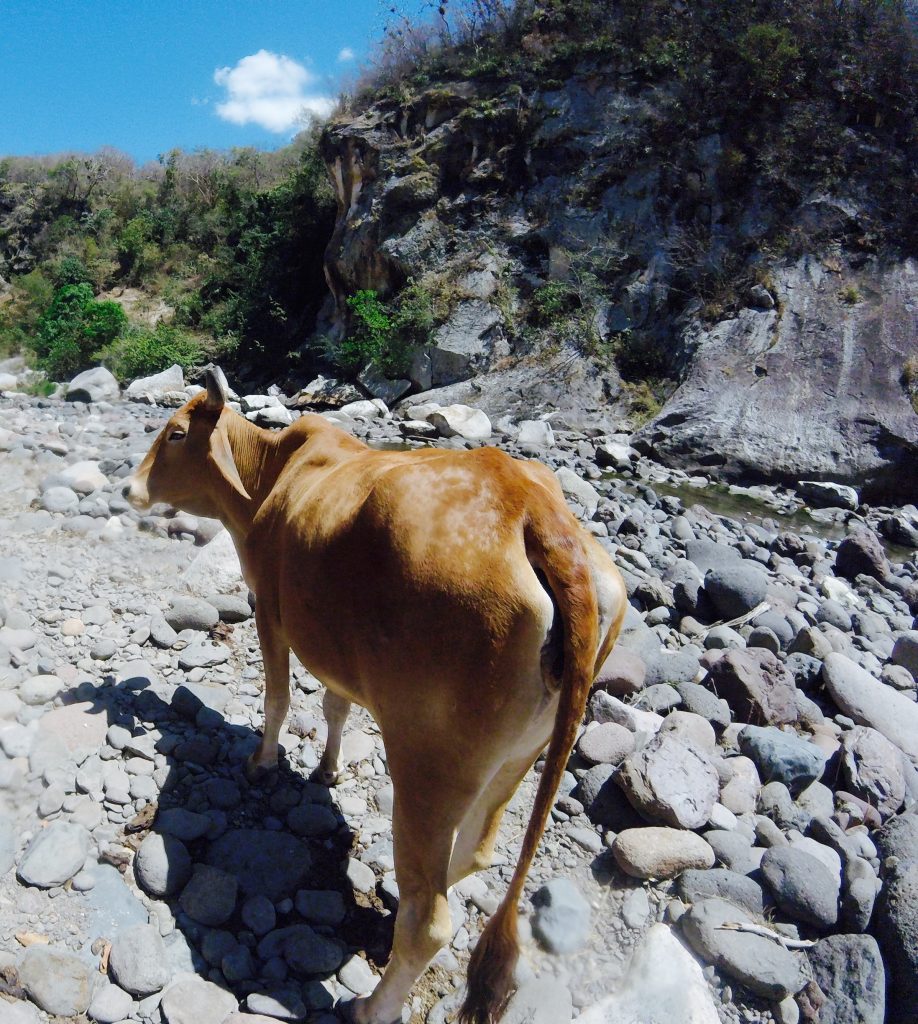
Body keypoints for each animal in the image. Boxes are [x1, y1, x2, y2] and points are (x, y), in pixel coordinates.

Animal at [125, 370, 627, 1024]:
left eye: (177, 432)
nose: (129, 487)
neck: (269, 482)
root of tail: (534, 508)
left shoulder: (271, 614)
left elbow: (278, 699)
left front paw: (262, 764)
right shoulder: (336, 654)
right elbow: (335, 707)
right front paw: (328, 769)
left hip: (427, 767)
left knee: (430, 921)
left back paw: (370, 1005)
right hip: (519, 757)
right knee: (471, 854)